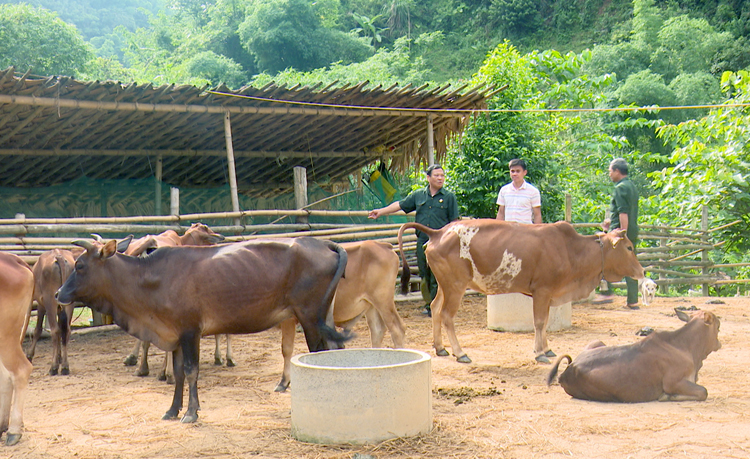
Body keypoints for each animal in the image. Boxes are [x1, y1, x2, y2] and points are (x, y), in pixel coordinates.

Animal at [274, 239, 406, 394]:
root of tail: (384, 245)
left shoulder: (288, 318)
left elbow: (286, 348)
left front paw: (283, 382)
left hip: (383, 300)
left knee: (397, 329)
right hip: (371, 305)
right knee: (377, 330)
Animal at [400, 221, 648, 364]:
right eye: (629, 247)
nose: (641, 270)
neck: (571, 250)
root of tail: (439, 231)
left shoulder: (548, 295)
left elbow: (544, 322)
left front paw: (547, 349)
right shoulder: (542, 291)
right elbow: (539, 322)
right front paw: (540, 353)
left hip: (446, 285)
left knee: (435, 308)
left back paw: (440, 347)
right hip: (456, 286)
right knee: (447, 316)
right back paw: (459, 352)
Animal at [548, 310, 724, 402]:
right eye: (718, 326)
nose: (719, 343)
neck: (685, 346)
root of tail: (569, 368)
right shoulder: (673, 382)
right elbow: (703, 392)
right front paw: (667, 397)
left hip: (597, 342)